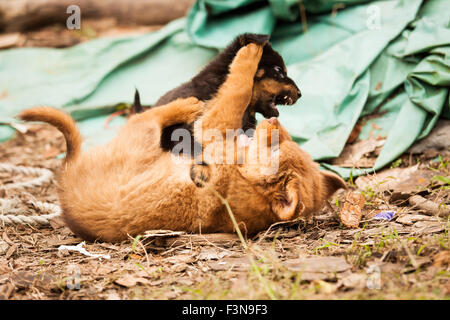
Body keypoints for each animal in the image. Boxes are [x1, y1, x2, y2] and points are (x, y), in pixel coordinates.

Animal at [20, 43, 344, 242]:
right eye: (283, 140)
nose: (276, 124)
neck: (242, 178)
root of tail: (65, 176)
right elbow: (237, 91)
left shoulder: (213, 127)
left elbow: (237, 90)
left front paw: (250, 52)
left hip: (143, 136)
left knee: (151, 115)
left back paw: (187, 105)